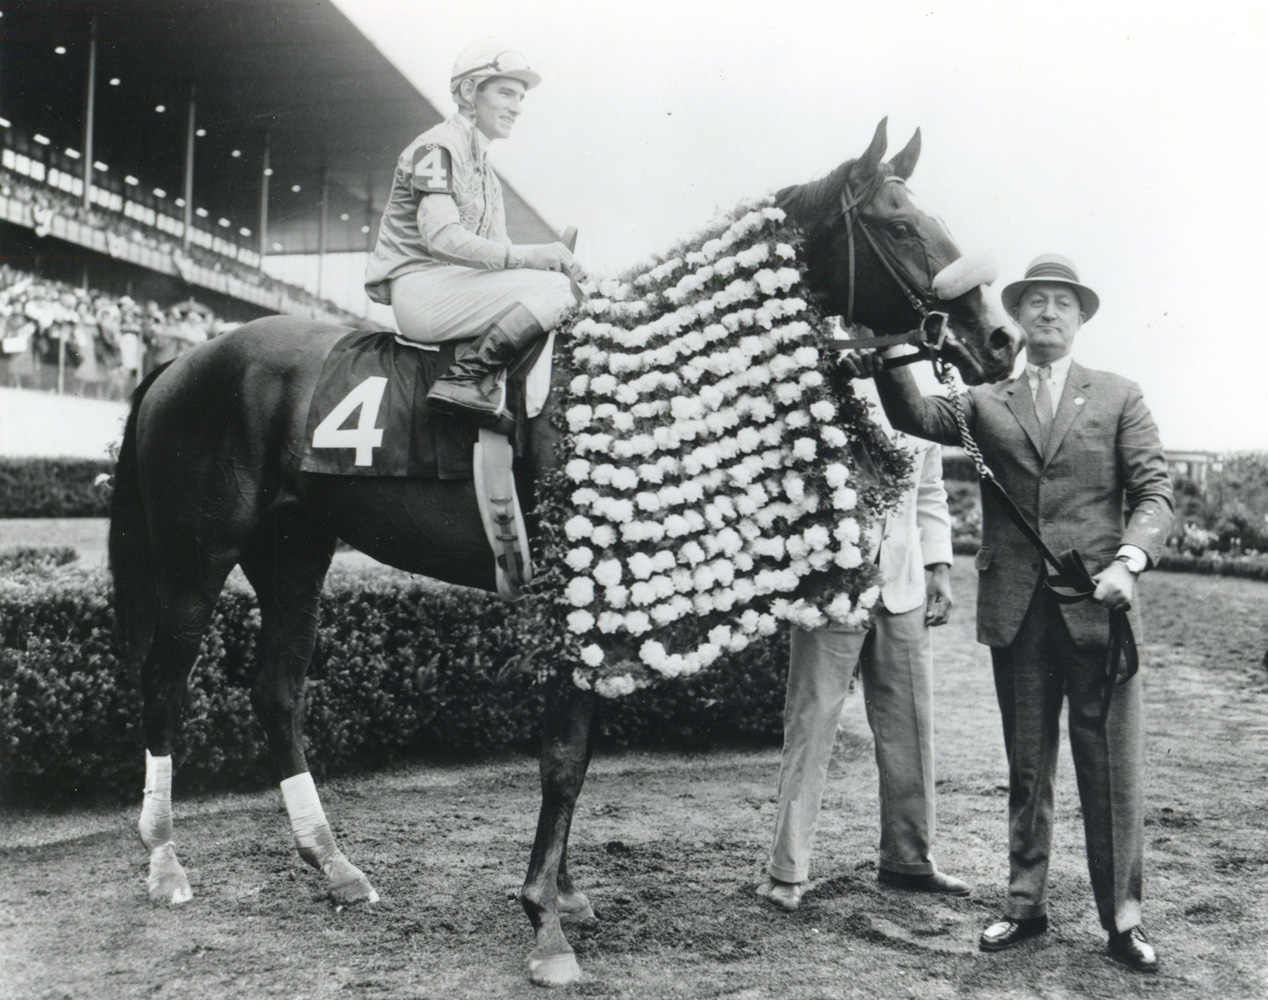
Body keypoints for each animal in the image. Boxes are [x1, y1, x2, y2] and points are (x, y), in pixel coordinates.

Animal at [109, 119, 1019, 983]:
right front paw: (545, 921)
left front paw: (568, 893)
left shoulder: (602, 595)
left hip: (294, 552)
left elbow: (582, 749)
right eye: (899, 225)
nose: (1001, 338)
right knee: (163, 684)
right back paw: (164, 860)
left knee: (276, 693)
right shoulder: (575, 584)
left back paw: (334, 866)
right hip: (199, 556)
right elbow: (564, 756)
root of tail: (180, 362)